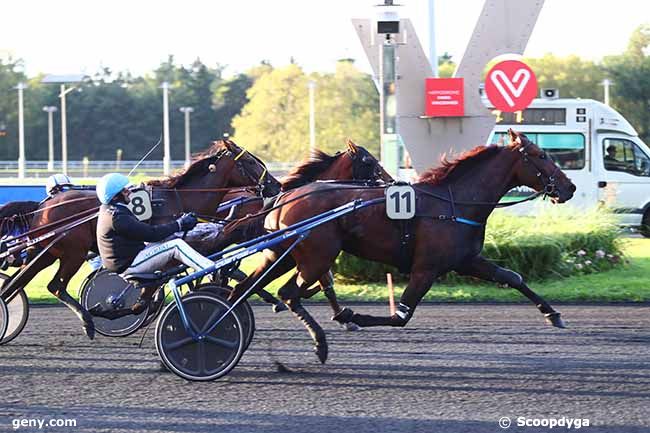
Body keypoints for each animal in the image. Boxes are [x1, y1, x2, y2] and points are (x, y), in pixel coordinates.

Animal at [2, 138, 280, 338]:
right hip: (73, 252)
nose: (276, 186)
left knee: (17, 282)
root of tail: (44, 205)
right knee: (55, 286)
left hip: (47, 252)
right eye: (251, 162)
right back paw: (87, 321)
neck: (180, 199)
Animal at [234, 131, 576, 362]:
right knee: (288, 293)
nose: (569, 187)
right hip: (317, 256)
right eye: (542, 155)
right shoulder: (426, 268)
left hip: (282, 255)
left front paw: (553, 314)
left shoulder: (466, 260)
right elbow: (401, 315)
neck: (453, 202)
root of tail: (285, 197)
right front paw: (351, 316)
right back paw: (319, 343)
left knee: (246, 288)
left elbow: (512, 277)